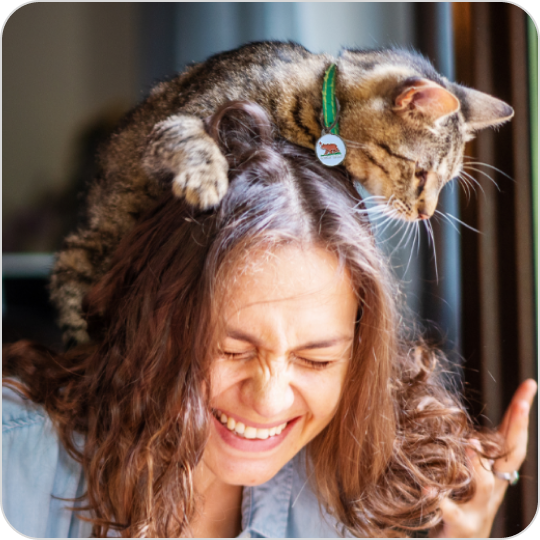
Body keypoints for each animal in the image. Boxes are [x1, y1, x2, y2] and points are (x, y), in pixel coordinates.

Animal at [50, 41, 516, 346]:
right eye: (422, 174)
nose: (426, 213)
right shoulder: (179, 118)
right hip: (81, 257)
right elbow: (188, 135)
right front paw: (205, 178)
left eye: (444, 181)